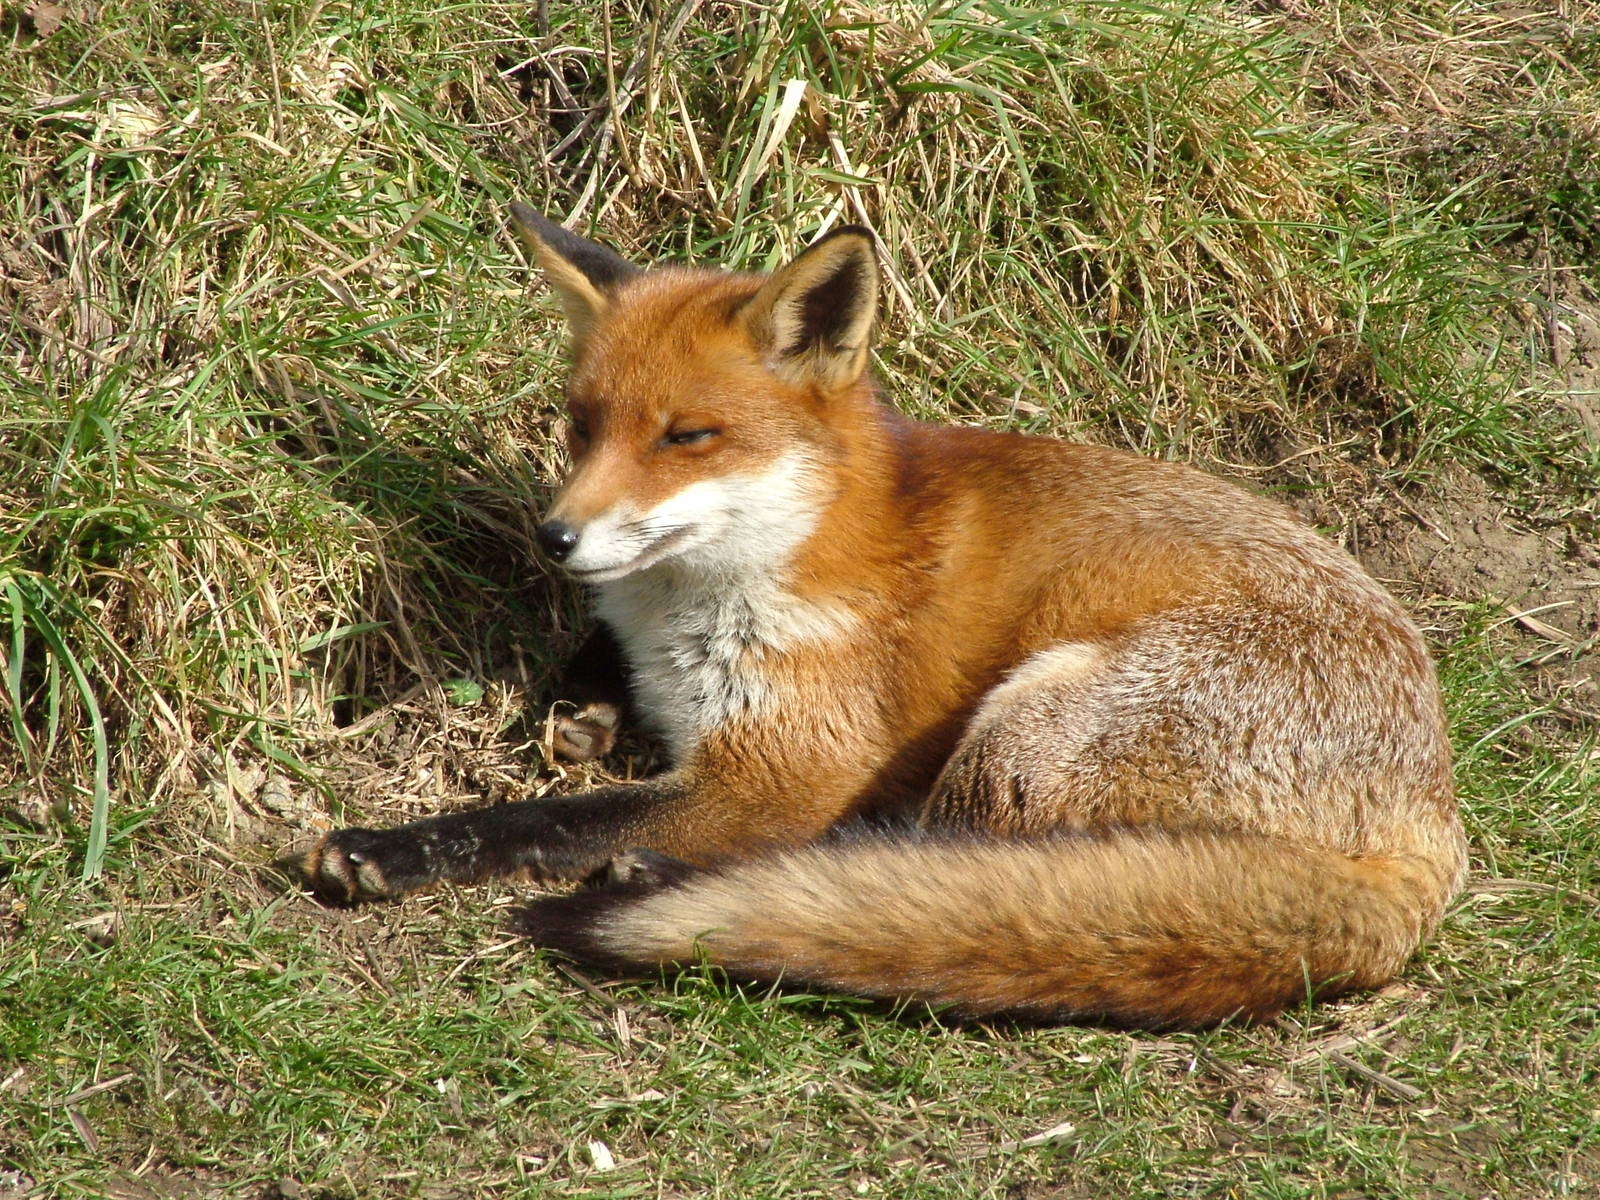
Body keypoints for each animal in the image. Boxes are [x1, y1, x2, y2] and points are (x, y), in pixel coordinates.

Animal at [296, 204, 1467, 1027]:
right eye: (580, 427)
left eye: (686, 437)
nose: (555, 538)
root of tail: (1431, 826)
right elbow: (589, 669)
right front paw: (584, 702)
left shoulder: (780, 766)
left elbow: (540, 821)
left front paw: (392, 850)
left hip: (1031, 730)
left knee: (931, 861)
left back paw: (670, 881)